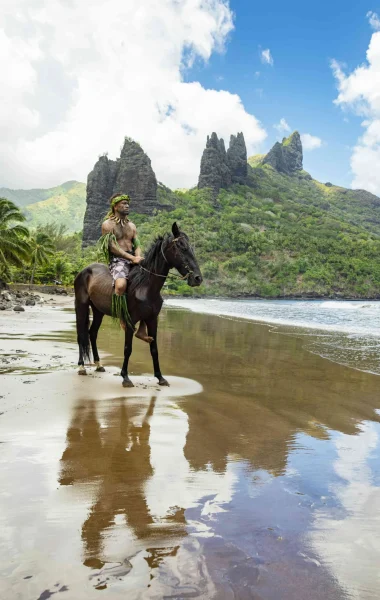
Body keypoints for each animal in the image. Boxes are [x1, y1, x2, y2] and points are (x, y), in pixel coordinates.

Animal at [73, 221, 202, 390]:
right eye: (181, 247)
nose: (198, 278)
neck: (146, 286)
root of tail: (84, 271)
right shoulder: (130, 321)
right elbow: (128, 349)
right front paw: (125, 377)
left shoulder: (152, 319)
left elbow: (154, 349)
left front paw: (160, 377)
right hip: (81, 306)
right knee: (81, 335)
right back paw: (81, 366)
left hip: (98, 311)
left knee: (92, 333)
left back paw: (99, 364)